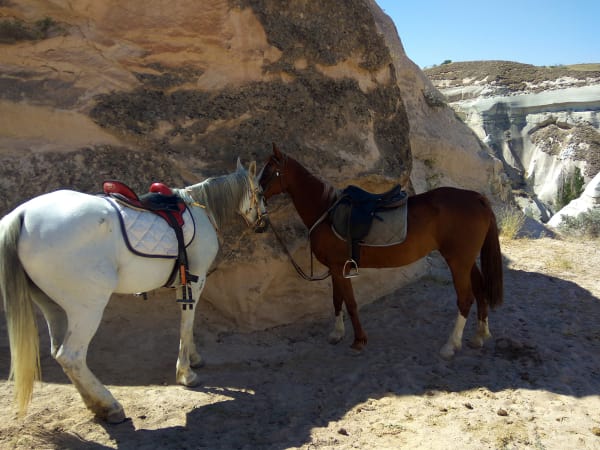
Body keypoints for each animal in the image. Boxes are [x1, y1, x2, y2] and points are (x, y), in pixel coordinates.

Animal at [0, 158, 268, 422]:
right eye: (260, 192)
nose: (264, 224)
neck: (201, 208)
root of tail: (22, 214)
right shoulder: (196, 278)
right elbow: (187, 321)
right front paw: (186, 373)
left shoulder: (184, 281)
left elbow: (187, 322)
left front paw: (193, 358)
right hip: (87, 308)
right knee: (71, 356)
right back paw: (110, 406)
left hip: (52, 306)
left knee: (59, 353)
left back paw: (95, 404)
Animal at [258, 144, 502, 358]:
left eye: (268, 170)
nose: (256, 198)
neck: (326, 212)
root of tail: (477, 198)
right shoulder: (335, 269)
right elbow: (337, 300)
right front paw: (337, 333)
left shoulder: (339, 268)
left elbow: (351, 303)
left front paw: (358, 341)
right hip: (466, 261)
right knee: (480, 289)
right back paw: (479, 336)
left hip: (457, 261)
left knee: (465, 298)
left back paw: (451, 345)